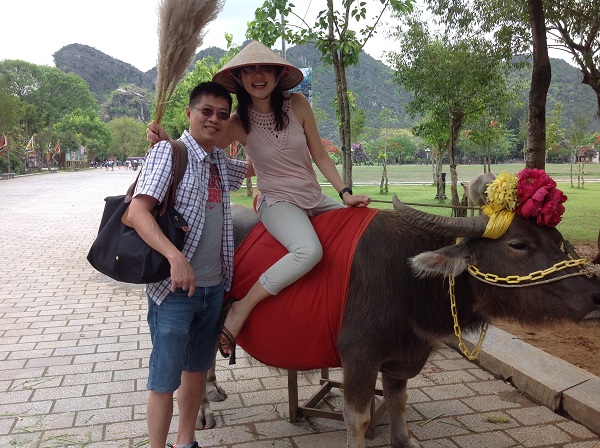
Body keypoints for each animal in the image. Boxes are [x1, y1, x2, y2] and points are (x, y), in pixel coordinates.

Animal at [199, 200, 596, 448]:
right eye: (519, 244)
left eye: (559, 242)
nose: (594, 296)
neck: (411, 277)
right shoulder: (359, 356)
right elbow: (357, 417)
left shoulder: (401, 355)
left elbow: (397, 400)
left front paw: (404, 438)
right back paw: (204, 411)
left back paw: (215, 390)